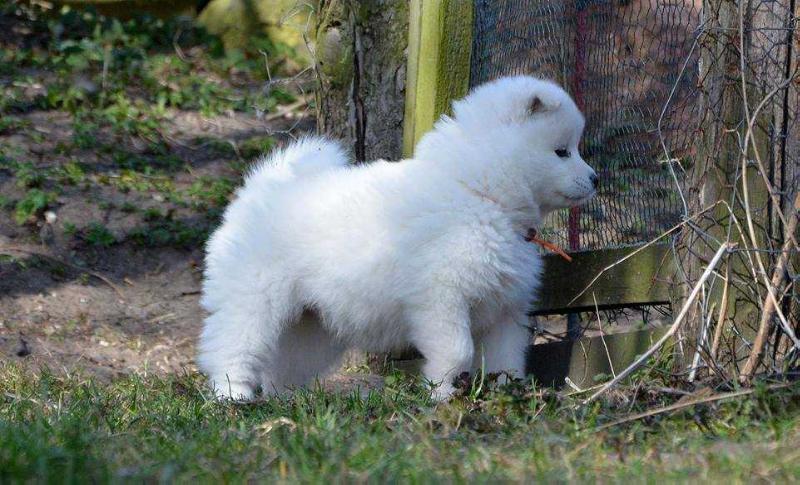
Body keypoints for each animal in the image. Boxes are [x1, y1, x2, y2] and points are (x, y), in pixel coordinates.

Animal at [198, 75, 600, 398]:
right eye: (562, 152)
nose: (595, 179)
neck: (480, 193)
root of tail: (262, 188)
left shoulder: (504, 309)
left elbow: (507, 359)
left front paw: (506, 395)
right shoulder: (442, 298)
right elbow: (457, 351)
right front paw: (442, 397)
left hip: (311, 325)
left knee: (282, 365)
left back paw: (286, 402)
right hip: (254, 299)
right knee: (233, 345)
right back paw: (233, 396)